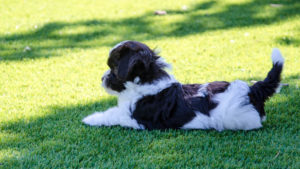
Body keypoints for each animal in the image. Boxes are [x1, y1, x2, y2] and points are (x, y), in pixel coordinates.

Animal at [82, 40, 284, 131]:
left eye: (114, 68)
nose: (102, 78)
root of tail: (253, 90)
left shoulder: (135, 118)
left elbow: (112, 115)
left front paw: (90, 118)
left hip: (239, 118)